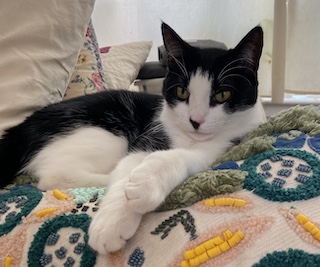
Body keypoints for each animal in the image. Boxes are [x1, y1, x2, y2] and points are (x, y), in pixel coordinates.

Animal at [0, 23, 264, 255]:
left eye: (222, 95)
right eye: (182, 92)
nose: (195, 121)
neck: (189, 137)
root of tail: (21, 128)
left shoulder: (223, 146)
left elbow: (180, 157)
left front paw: (145, 183)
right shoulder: (147, 136)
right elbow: (129, 165)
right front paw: (112, 222)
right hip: (109, 135)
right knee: (53, 175)